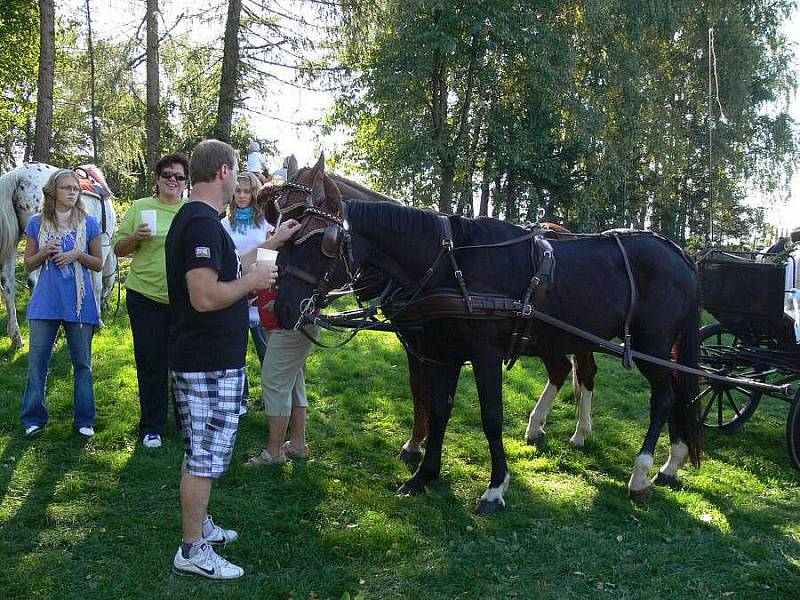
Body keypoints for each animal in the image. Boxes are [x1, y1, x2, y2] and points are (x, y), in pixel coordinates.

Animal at [0, 162, 117, 350]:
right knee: (34, 281)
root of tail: (17, 176)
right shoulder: (102, 242)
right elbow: (97, 284)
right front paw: (98, 321)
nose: (107, 306)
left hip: (14, 241)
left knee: (8, 283)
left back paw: (17, 338)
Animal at [260, 155, 596, 464]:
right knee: (560, 368)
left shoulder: (431, 342)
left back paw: (580, 432)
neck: (434, 260)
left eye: (298, 218)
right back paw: (536, 426)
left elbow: (428, 393)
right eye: (278, 213)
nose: (280, 304)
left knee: (585, 370)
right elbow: (419, 391)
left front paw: (419, 445)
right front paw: (415, 442)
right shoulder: (415, 340)